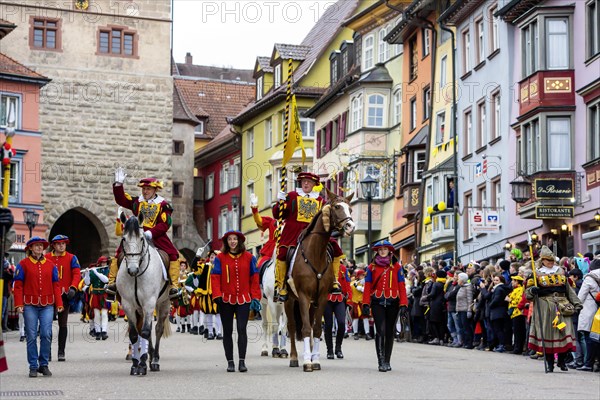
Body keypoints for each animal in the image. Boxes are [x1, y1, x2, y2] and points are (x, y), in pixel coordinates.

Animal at [284, 189, 354, 370]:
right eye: (337, 207)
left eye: (350, 208)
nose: (351, 226)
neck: (315, 253)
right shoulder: (303, 295)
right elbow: (305, 329)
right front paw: (307, 362)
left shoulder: (321, 298)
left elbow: (315, 329)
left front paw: (314, 360)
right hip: (289, 300)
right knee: (292, 327)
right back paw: (294, 358)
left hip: (311, 304)